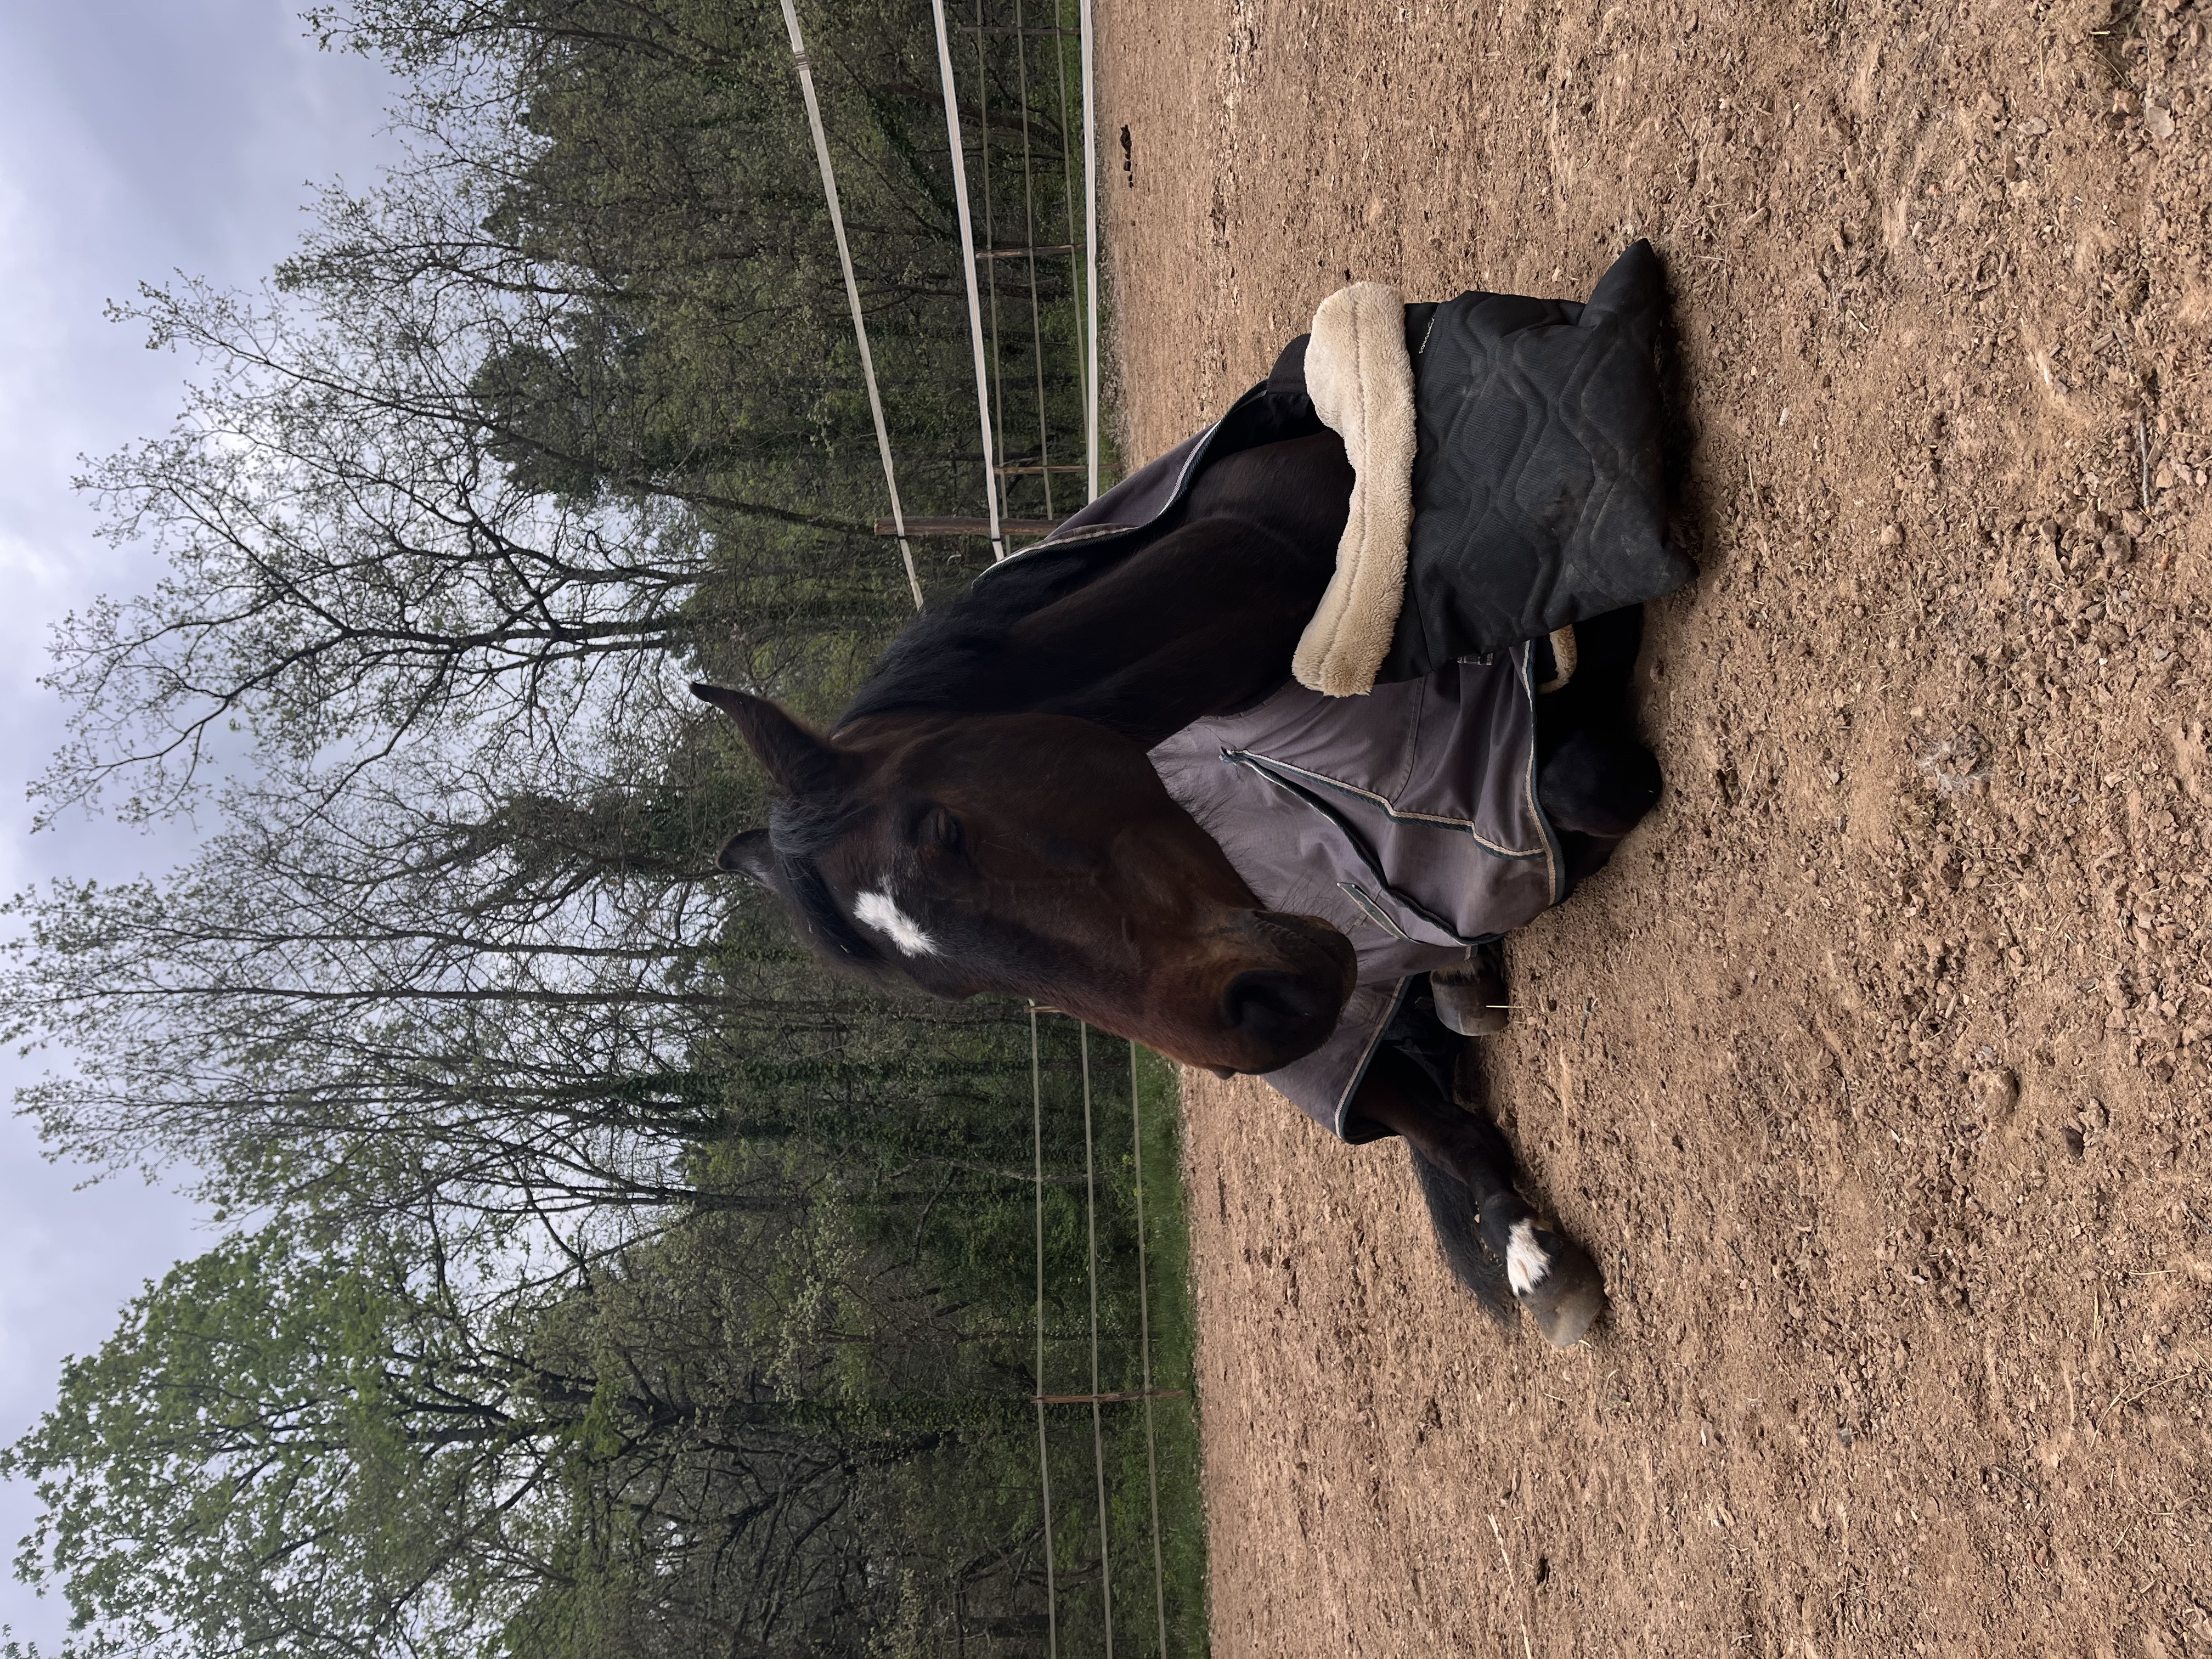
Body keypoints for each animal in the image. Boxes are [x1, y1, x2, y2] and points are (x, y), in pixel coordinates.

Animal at [693, 429, 1660, 1347]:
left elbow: (1582, 779)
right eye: (952, 987)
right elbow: (1456, 1138)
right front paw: (1532, 1259)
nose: (1264, 1016)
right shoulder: (1333, 1038)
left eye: (943, 830)